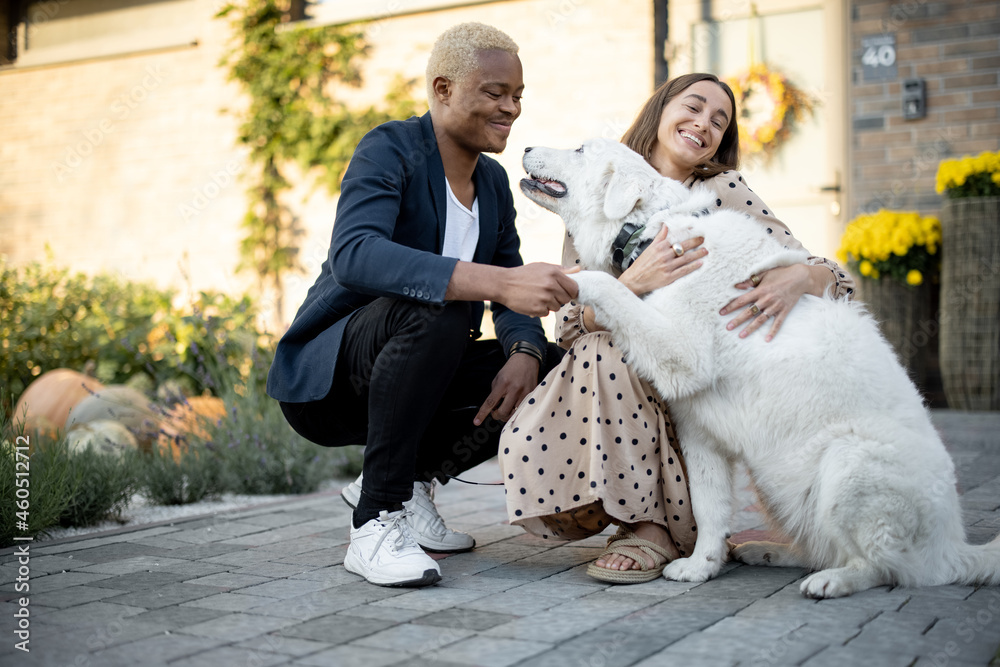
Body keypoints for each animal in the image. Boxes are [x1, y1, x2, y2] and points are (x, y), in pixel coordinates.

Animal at [520, 138, 996, 596]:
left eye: (580, 149)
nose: (524, 147)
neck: (652, 229)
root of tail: (951, 548)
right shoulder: (698, 428)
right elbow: (709, 506)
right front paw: (702, 566)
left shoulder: (680, 351)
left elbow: (607, 286)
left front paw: (561, 279)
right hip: (778, 479)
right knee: (822, 546)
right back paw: (766, 551)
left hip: (847, 462)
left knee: (884, 566)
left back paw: (834, 582)